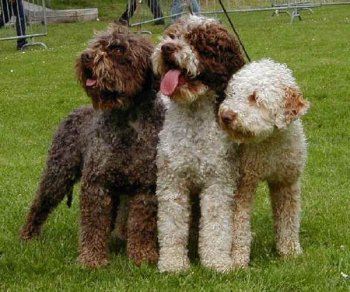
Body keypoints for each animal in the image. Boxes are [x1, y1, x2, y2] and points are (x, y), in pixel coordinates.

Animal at [151, 14, 246, 272]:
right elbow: (172, 226)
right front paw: (173, 264)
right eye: (172, 36)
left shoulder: (218, 181)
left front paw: (217, 263)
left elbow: (216, 225)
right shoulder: (172, 181)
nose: (167, 48)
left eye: (197, 43)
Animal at [219, 58, 308, 266]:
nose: (226, 116)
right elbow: (238, 225)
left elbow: (288, 219)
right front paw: (238, 260)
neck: (270, 142)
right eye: (232, 93)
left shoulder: (286, 182)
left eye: (254, 97)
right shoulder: (243, 183)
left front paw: (290, 252)